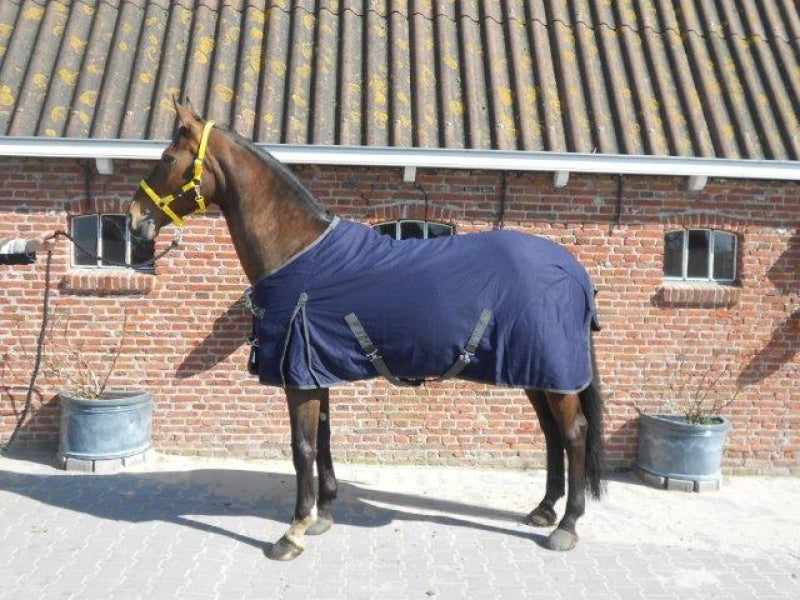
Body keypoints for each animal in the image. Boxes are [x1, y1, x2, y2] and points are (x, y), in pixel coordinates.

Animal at [127, 100, 606, 560]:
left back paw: (567, 526)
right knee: (551, 434)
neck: (298, 252)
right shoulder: (312, 370)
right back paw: (544, 509)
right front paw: (323, 514)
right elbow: (323, 438)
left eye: (167, 157)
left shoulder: (297, 378)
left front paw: (293, 531)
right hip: (537, 374)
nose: (133, 219)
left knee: (574, 434)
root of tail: (574, 271)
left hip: (554, 374)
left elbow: (301, 448)